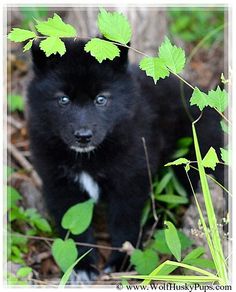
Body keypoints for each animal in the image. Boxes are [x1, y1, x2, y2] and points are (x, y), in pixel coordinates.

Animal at [27, 40, 223, 282]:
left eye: (101, 99)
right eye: (63, 99)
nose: (83, 136)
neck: (88, 158)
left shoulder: (129, 180)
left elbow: (124, 223)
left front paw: (122, 262)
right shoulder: (60, 184)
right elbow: (74, 228)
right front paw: (82, 265)